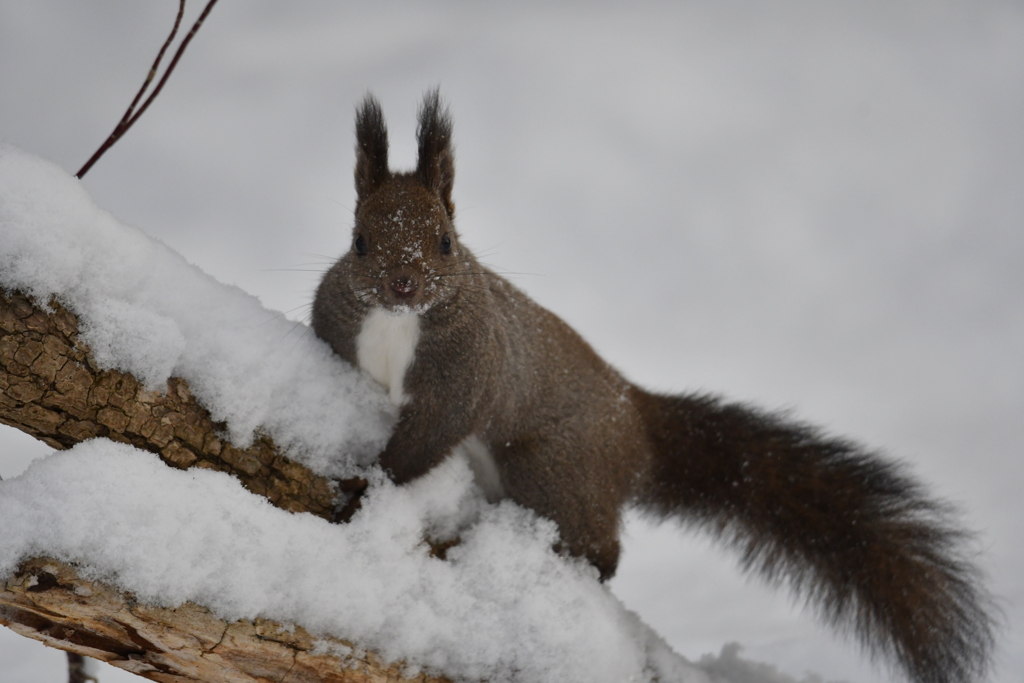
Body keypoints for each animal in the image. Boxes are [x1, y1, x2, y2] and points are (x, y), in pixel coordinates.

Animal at [311, 90, 991, 683]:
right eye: (359, 242)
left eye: (446, 243)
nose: (403, 284)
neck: (398, 324)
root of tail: (633, 419)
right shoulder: (340, 335)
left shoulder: (466, 372)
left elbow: (430, 435)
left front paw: (367, 487)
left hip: (553, 467)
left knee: (601, 546)